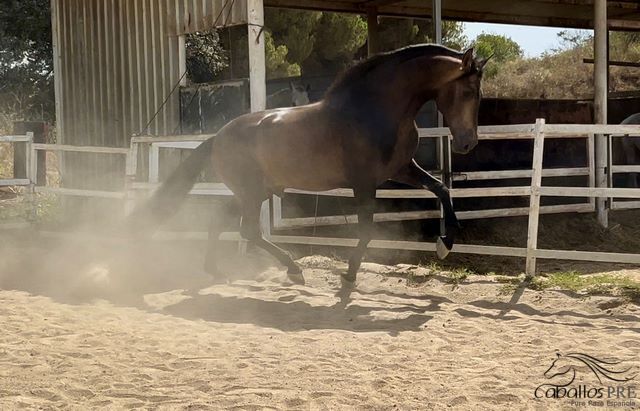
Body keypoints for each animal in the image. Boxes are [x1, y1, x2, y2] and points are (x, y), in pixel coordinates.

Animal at [130, 44, 490, 286]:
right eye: (469, 91)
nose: (468, 143)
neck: (377, 110)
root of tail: (217, 136)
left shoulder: (401, 169)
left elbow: (441, 188)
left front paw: (444, 244)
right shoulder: (363, 182)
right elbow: (366, 228)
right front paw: (349, 275)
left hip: (254, 192)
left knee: (220, 221)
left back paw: (217, 271)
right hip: (251, 193)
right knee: (249, 230)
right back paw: (293, 270)